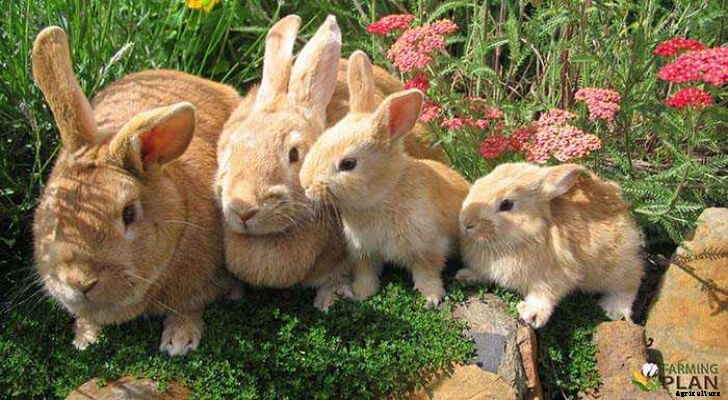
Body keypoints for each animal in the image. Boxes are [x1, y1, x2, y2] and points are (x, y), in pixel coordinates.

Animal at [31, 26, 240, 356]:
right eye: (53, 208)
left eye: (129, 214)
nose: (82, 282)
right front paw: (85, 340)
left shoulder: (198, 287)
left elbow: (190, 307)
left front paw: (179, 342)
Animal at [299, 51, 472, 308]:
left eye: (348, 164)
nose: (306, 185)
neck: (383, 194)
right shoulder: (363, 251)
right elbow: (365, 273)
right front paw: (361, 294)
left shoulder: (428, 246)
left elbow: (427, 273)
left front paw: (431, 298)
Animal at [456, 162, 644, 328]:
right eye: (479, 182)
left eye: (506, 204)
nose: (466, 223)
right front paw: (465, 276)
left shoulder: (554, 275)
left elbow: (544, 295)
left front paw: (531, 315)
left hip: (615, 266)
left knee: (631, 280)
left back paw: (613, 309)